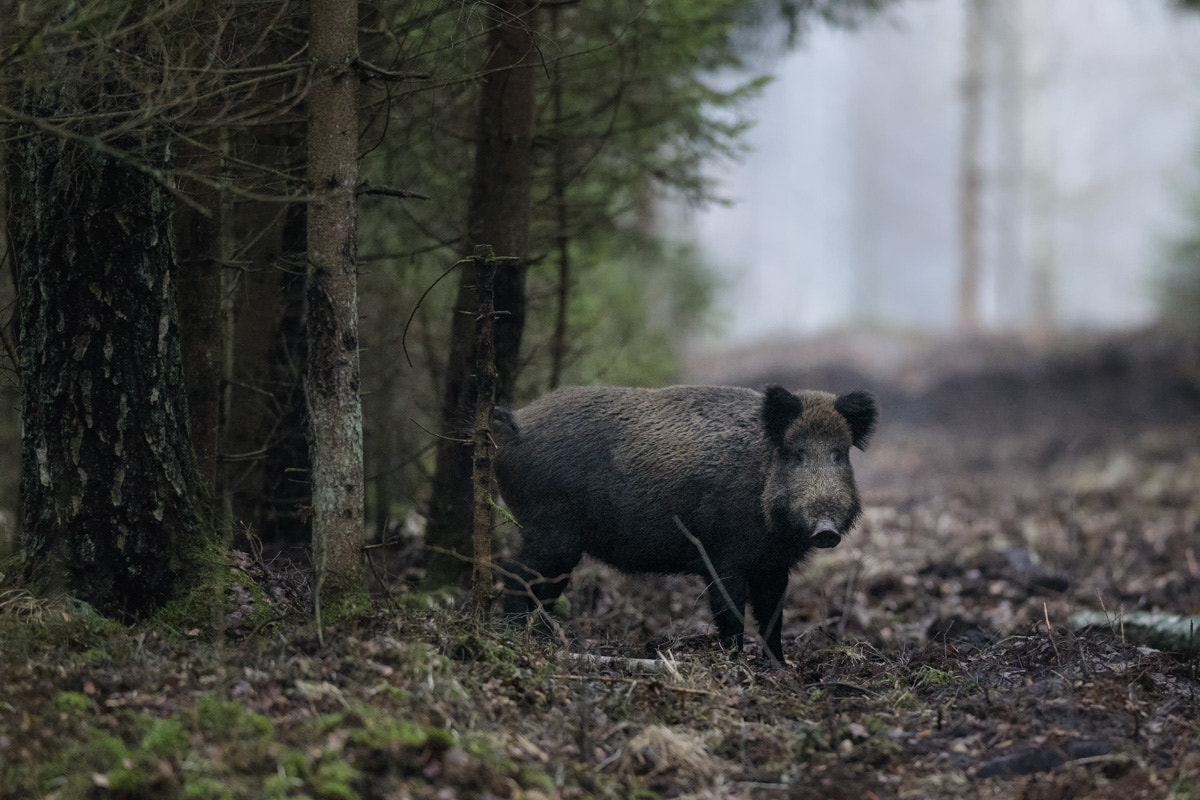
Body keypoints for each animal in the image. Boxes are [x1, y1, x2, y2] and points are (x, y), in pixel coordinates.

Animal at [492, 384, 877, 663]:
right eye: (796, 454)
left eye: (839, 454)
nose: (826, 530)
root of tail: (513, 428)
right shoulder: (722, 557)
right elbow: (731, 612)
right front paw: (735, 663)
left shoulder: (773, 566)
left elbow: (773, 616)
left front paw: (779, 667)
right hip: (550, 532)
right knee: (516, 575)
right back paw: (515, 635)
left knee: (544, 589)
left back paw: (545, 640)